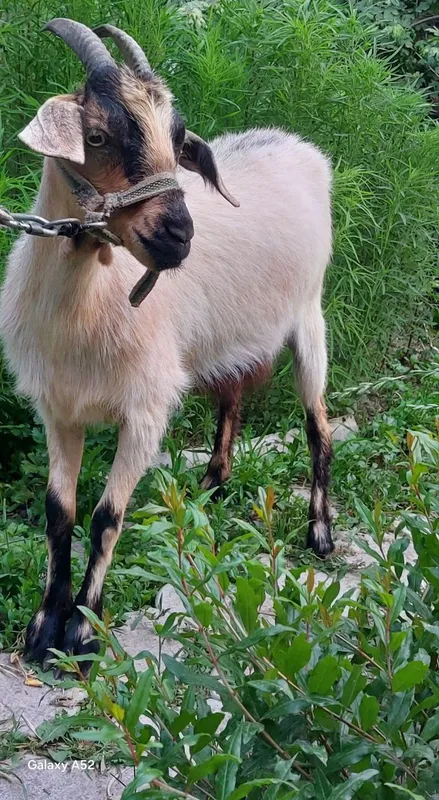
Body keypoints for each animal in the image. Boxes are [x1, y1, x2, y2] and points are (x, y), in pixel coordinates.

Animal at [0, 19, 334, 668]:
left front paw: (82, 634)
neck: (87, 304)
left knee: (319, 429)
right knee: (232, 399)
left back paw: (320, 533)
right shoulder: (59, 408)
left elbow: (106, 516)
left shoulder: (147, 409)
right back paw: (210, 490)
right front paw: (42, 630)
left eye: (176, 139)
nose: (179, 234)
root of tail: (300, 147)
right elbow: (59, 514)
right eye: (97, 135)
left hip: (309, 316)